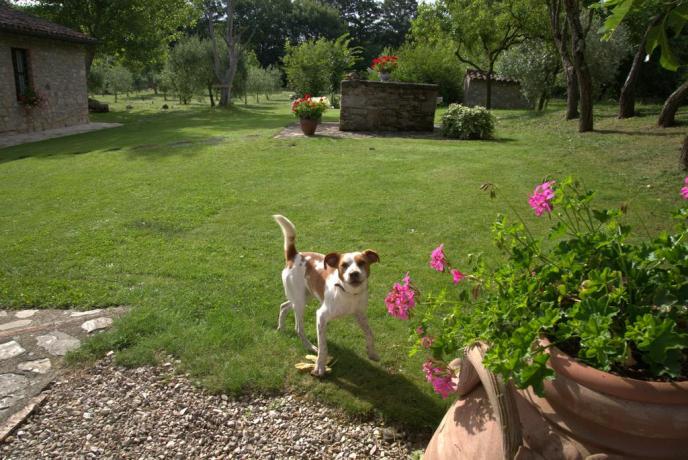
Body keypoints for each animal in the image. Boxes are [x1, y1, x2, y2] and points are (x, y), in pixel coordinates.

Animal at [274, 214, 382, 376]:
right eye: (343, 265)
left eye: (362, 263)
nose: (354, 274)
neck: (348, 294)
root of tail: (295, 255)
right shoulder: (321, 316)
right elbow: (323, 347)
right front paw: (319, 367)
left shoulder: (360, 314)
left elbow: (370, 333)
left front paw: (372, 353)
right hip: (300, 302)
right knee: (299, 327)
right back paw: (309, 346)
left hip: (304, 296)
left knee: (284, 306)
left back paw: (281, 327)